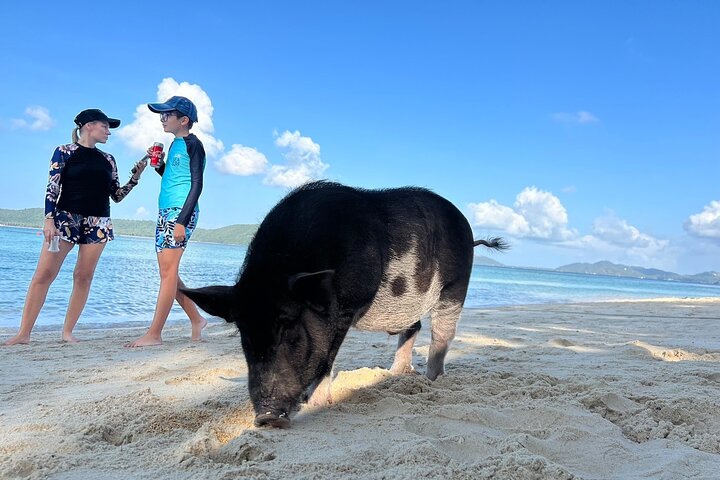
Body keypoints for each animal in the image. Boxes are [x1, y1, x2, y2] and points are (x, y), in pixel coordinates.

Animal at [182, 181, 507, 428]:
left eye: (290, 329)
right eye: (245, 337)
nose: (265, 417)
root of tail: (469, 231)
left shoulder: (345, 309)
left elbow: (326, 357)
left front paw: (315, 404)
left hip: (456, 285)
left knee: (442, 335)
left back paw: (433, 380)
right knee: (412, 327)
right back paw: (394, 374)